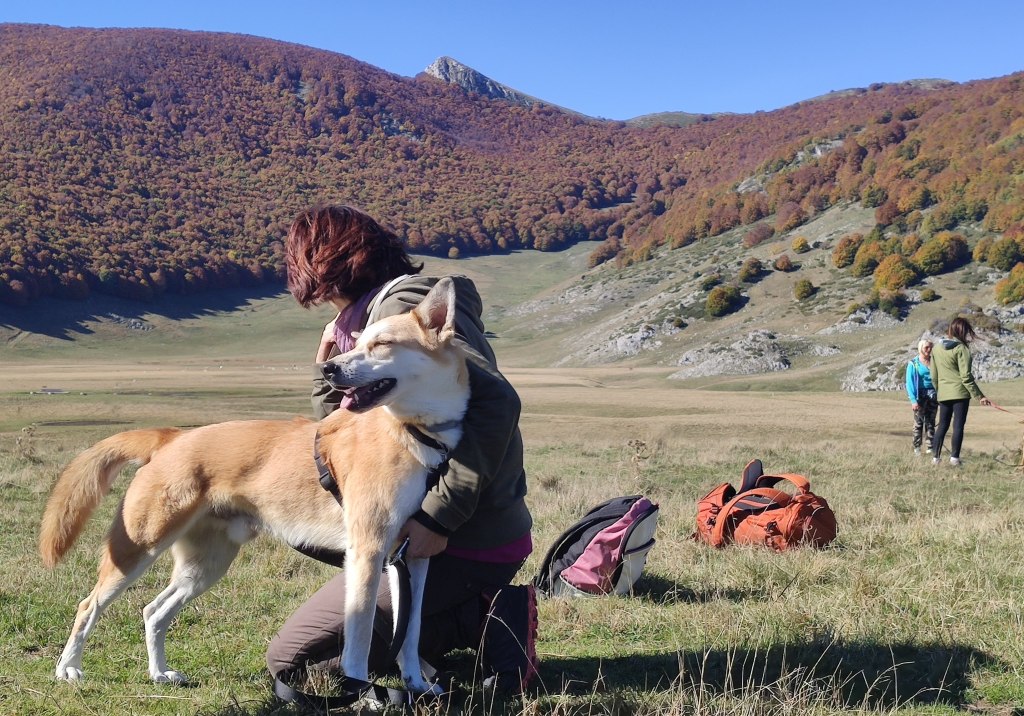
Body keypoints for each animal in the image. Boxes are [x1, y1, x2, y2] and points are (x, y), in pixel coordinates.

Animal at [39, 277, 467, 695]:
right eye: (360, 342)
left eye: (382, 343)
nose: (328, 368)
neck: (413, 433)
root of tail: (173, 436)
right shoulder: (368, 550)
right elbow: (360, 639)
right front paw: (362, 692)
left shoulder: (413, 556)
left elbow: (410, 632)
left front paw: (416, 684)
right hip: (139, 548)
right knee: (88, 605)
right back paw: (69, 669)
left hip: (205, 565)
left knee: (153, 611)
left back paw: (159, 673)